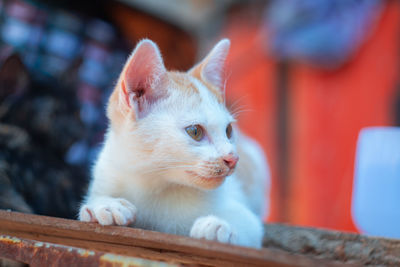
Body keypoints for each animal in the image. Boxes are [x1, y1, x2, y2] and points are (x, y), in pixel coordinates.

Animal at [78, 38, 270, 248]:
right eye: (195, 131)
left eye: (228, 130)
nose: (232, 158)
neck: (153, 185)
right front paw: (103, 205)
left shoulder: (248, 218)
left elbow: (249, 227)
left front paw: (218, 226)